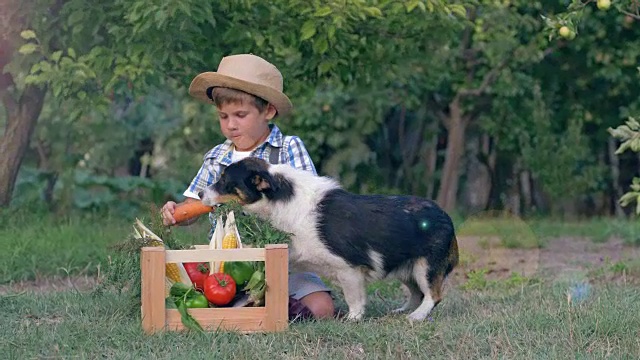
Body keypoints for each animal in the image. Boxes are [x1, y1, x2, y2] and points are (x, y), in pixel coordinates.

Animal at [198, 158, 458, 320]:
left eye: (224, 181)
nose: (199, 193)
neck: (282, 199)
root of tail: (447, 217)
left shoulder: (349, 269)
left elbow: (354, 299)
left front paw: (353, 319)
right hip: (407, 268)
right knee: (417, 293)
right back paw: (402, 311)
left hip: (426, 267)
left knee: (433, 295)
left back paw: (417, 316)